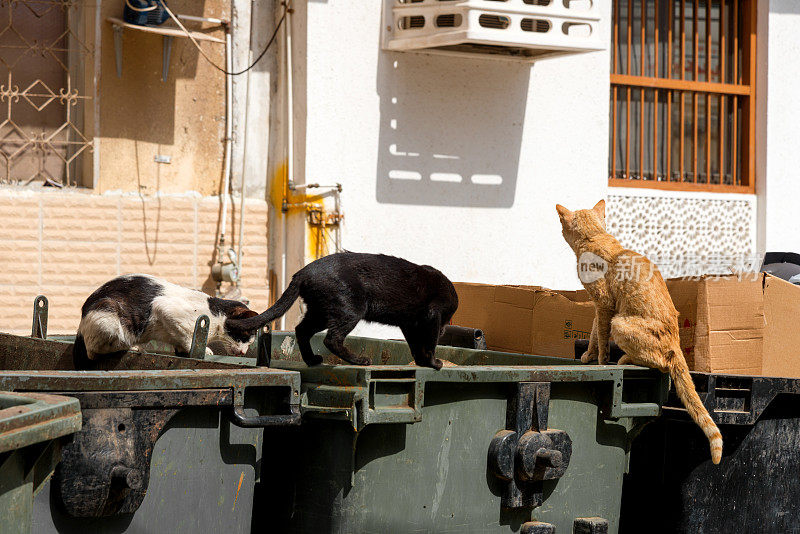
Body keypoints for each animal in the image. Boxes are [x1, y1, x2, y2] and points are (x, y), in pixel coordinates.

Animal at [75, 274, 260, 362]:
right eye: (246, 336)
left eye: (251, 342)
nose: (243, 352)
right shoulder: (165, 308)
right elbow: (188, 337)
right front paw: (201, 350)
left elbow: (180, 339)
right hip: (108, 316)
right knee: (93, 352)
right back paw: (132, 347)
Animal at [228, 253, 460, 370]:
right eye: (447, 320)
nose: (444, 330)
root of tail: (303, 272)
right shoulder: (431, 316)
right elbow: (429, 344)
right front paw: (433, 363)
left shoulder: (410, 324)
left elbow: (415, 345)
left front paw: (421, 362)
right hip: (350, 309)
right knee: (331, 339)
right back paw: (360, 361)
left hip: (321, 312)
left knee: (302, 330)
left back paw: (312, 360)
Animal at [560, 200, 720, 464]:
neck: (595, 237)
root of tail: (676, 344)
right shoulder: (600, 306)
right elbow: (593, 332)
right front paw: (589, 355)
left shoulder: (604, 304)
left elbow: (601, 336)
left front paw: (600, 361)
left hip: (620, 323)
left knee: (661, 364)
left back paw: (624, 359)